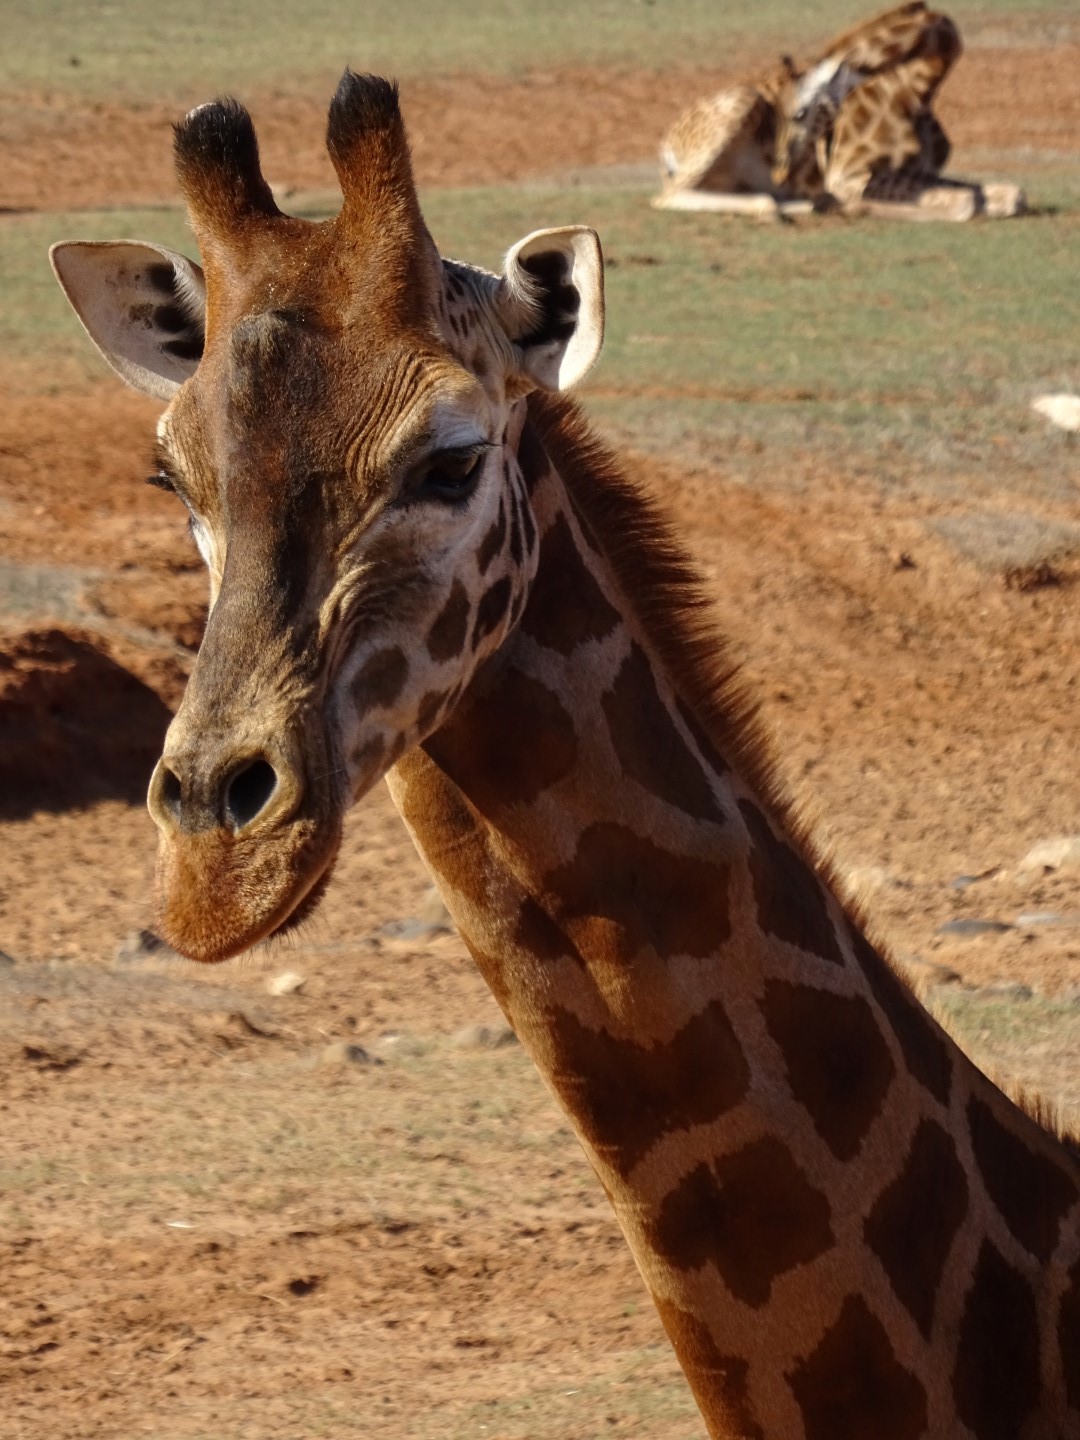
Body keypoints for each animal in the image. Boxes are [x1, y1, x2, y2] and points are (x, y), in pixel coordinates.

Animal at [659, 2, 1025, 221]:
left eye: (799, 114)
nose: (781, 171)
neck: (915, 92)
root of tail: (666, 145)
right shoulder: (850, 178)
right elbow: (964, 204)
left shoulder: (920, 173)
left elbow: (1011, 195)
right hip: (738, 108)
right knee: (668, 196)